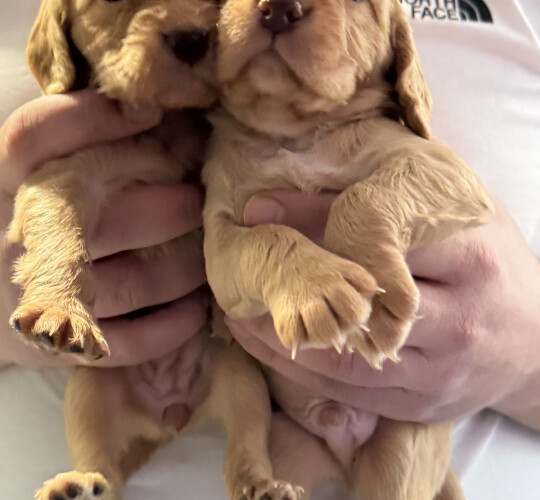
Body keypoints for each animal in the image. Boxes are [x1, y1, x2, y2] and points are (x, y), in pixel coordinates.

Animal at [17, 0, 304, 500]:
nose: (192, 39)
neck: (168, 119)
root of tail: (168, 415)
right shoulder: (62, 177)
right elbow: (59, 236)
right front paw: (60, 307)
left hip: (242, 380)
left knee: (245, 447)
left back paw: (263, 485)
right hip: (89, 390)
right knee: (104, 467)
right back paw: (79, 483)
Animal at [204, 0, 494, 500]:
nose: (279, 8)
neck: (292, 134)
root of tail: (339, 436)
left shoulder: (444, 168)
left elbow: (360, 196)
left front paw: (377, 306)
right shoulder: (216, 239)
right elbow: (265, 237)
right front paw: (319, 289)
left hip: (405, 441)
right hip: (247, 388)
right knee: (245, 439)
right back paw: (264, 485)